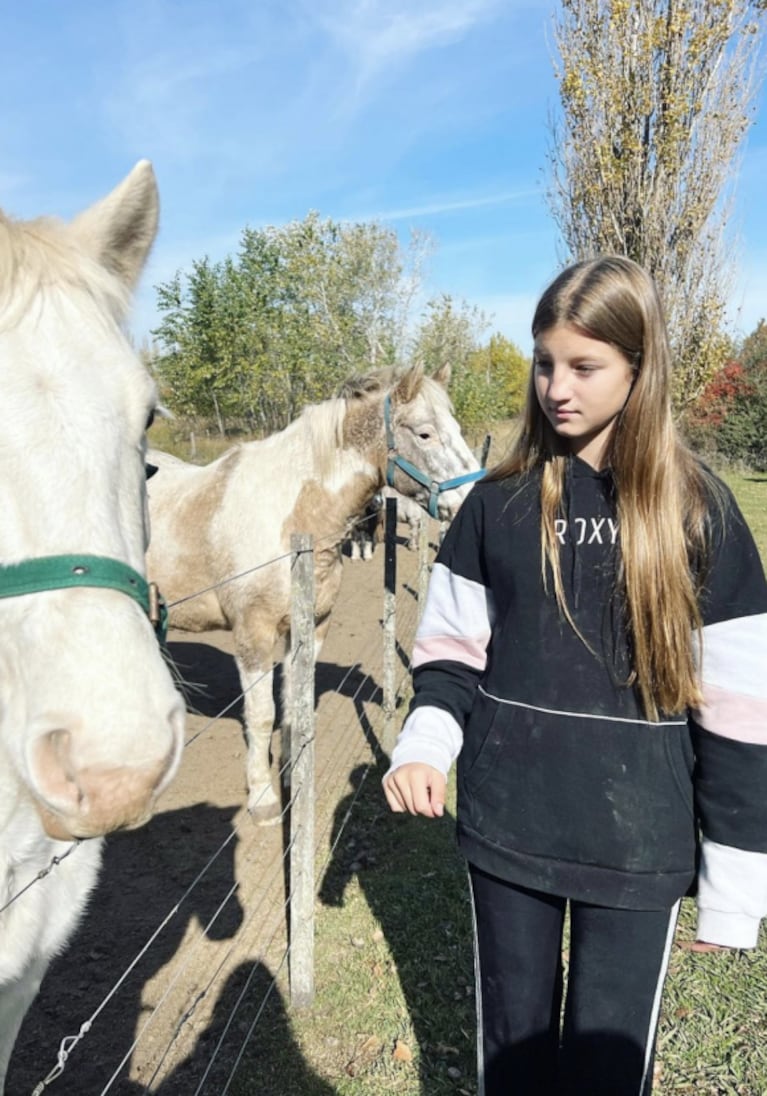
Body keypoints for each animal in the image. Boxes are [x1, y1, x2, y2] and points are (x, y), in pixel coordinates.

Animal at [144, 368, 479, 824]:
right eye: (425, 433)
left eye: (458, 427)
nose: (472, 500)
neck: (290, 519)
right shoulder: (253, 635)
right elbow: (262, 715)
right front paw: (263, 797)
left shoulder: (311, 628)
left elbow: (295, 703)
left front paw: (291, 773)